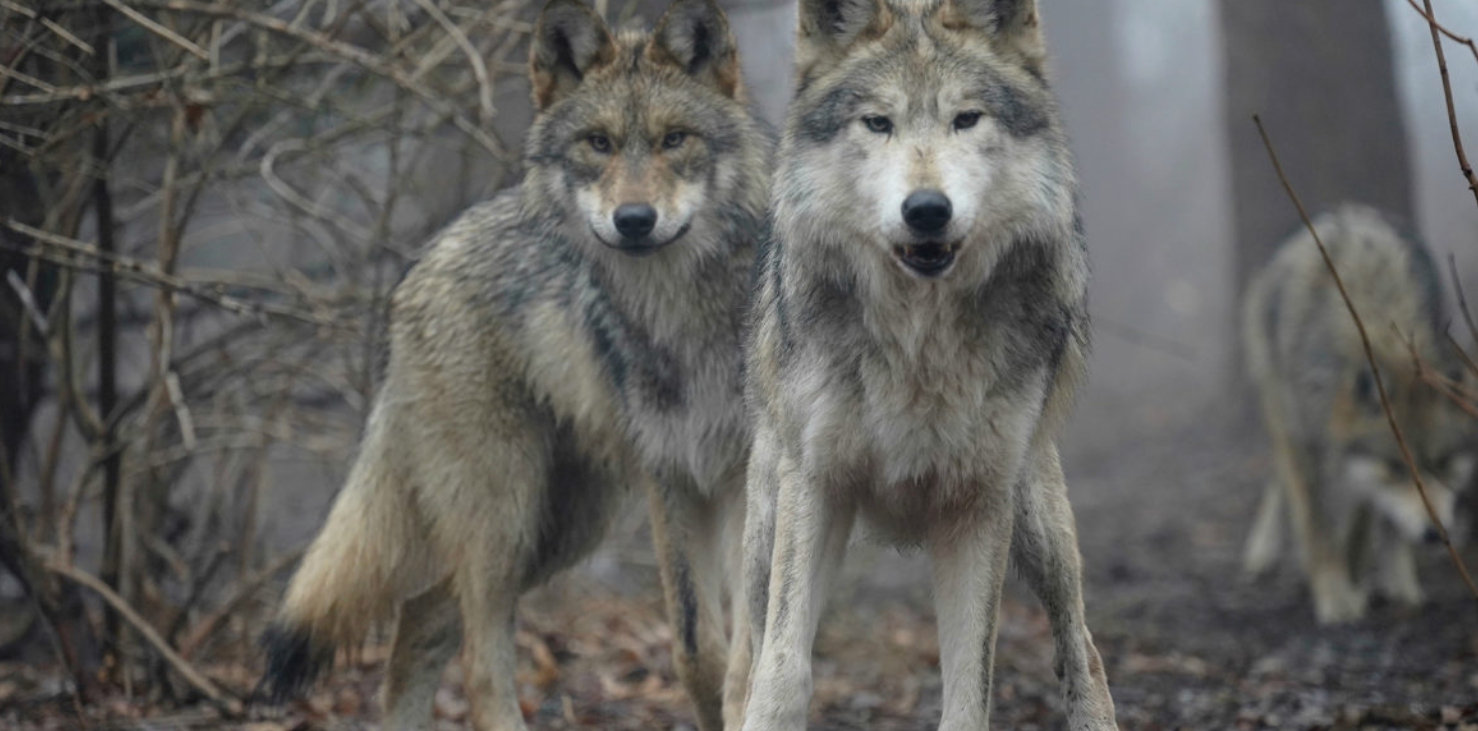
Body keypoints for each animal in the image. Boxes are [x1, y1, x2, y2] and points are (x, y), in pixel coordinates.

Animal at [258, 1, 770, 728]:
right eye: (598, 143)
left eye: (675, 139)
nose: (634, 219)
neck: (685, 316)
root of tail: (427, 257)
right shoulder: (671, 477)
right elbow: (699, 651)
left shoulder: (745, 479)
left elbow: (744, 656)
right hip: (507, 518)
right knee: (474, 659)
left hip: (562, 528)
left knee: (419, 620)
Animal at [729, 0, 1118, 729]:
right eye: (877, 122)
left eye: (967, 118)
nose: (928, 210)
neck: (919, 340)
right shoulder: (814, 486)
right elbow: (783, 668)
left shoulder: (977, 505)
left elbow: (970, 689)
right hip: (767, 521)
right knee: (744, 656)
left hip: (1036, 518)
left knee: (1082, 645)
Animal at [1241, 203, 1475, 624]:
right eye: (1396, 467)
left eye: (1442, 463)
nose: (1433, 534)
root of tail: (1345, 210)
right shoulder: (1307, 442)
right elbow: (1316, 526)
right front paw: (1334, 598)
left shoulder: (1361, 468)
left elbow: (1367, 521)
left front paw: (1372, 580)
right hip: (1279, 408)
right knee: (1279, 475)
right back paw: (1262, 550)